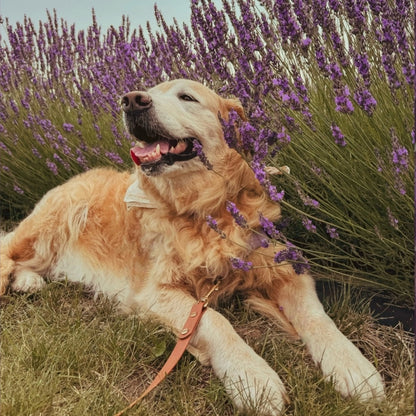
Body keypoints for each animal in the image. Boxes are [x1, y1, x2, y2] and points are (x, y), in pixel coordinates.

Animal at [0, 79, 384, 414]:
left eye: (186, 97)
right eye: (148, 91)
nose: (132, 101)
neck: (203, 211)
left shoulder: (285, 267)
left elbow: (317, 317)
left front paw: (354, 367)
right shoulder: (155, 293)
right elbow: (215, 320)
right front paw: (254, 378)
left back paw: (29, 281)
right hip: (49, 225)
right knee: (7, 251)